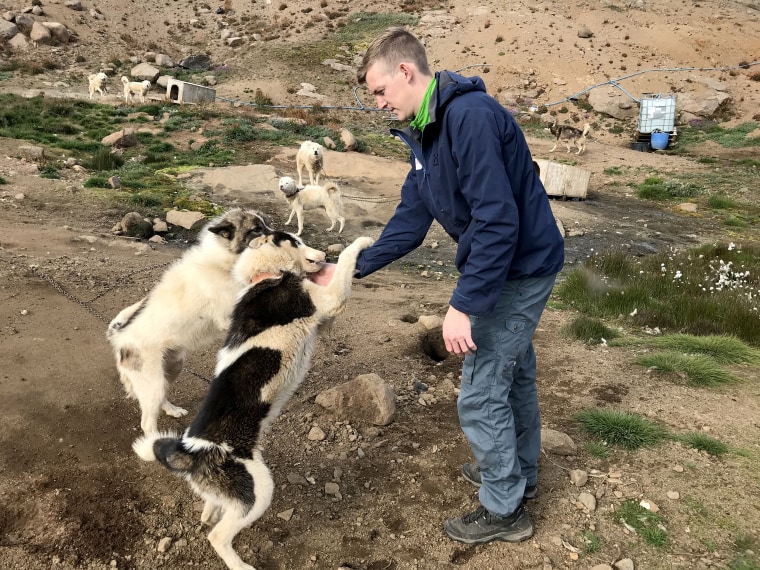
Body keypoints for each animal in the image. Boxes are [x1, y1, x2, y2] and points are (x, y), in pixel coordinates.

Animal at [106, 209, 274, 434]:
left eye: (266, 224)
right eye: (256, 229)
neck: (223, 264)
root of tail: (120, 337)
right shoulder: (226, 318)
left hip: (172, 367)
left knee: (162, 398)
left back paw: (172, 410)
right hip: (153, 383)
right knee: (147, 423)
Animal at [135, 230, 376, 568]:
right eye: (296, 241)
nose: (323, 255)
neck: (266, 275)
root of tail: (191, 451)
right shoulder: (329, 299)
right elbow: (346, 261)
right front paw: (362, 243)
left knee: (213, 510)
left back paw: (210, 512)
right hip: (259, 489)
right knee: (218, 536)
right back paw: (239, 563)